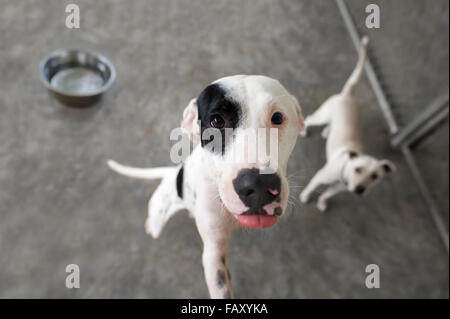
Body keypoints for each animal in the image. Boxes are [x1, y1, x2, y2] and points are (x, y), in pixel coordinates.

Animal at [300, 37, 396, 212]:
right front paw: (305, 196)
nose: (359, 189)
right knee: (309, 118)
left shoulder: (337, 189)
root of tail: (348, 95)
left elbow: (327, 194)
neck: (344, 174)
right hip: (321, 115)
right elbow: (311, 187)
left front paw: (322, 202)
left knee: (330, 126)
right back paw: (304, 130)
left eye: (375, 176)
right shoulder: (319, 177)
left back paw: (327, 132)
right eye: (358, 169)